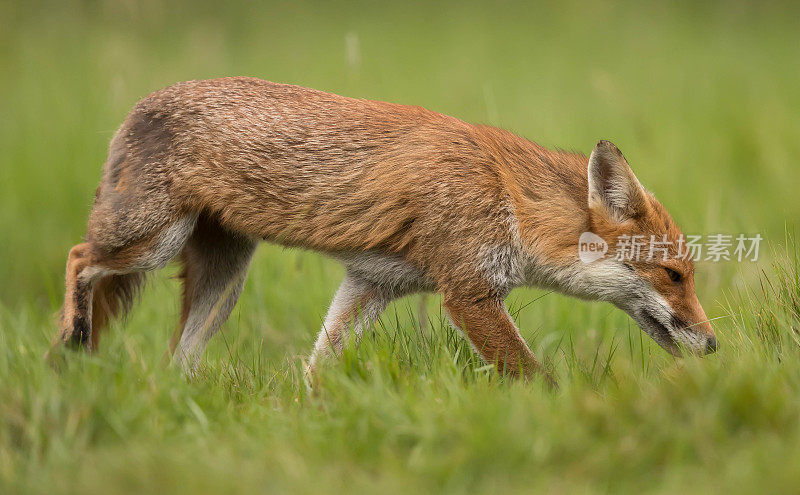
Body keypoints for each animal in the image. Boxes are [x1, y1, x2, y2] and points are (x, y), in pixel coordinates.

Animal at [56, 77, 720, 390]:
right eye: (674, 275)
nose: (715, 345)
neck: (509, 201)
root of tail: (139, 104)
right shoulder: (469, 294)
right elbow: (537, 377)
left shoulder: (371, 284)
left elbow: (315, 371)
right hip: (148, 241)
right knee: (78, 256)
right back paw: (71, 337)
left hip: (224, 281)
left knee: (176, 363)